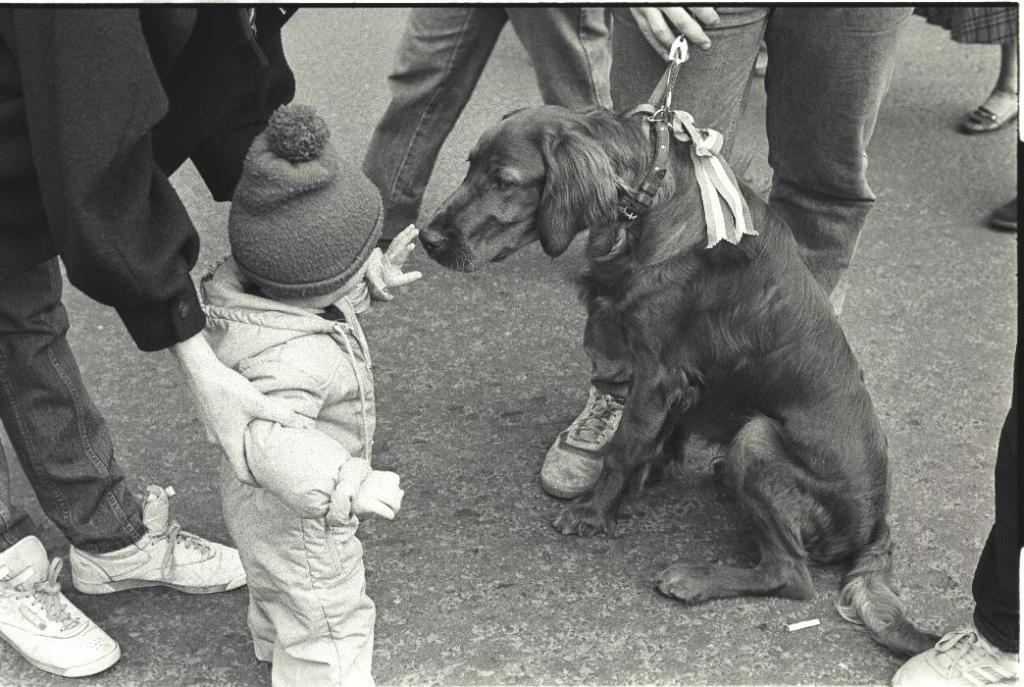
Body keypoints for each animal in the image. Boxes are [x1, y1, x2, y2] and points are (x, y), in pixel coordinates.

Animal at [417, 103, 937, 655]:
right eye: (470, 166)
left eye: (504, 180)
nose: (429, 239)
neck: (648, 203)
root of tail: (876, 521)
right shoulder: (669, 376)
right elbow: (655, 439)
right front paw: (640, 487)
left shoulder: (657, 369)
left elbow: (623, 448)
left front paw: (594, 513)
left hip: (757, 438)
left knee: (792, 576)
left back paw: (694, 578)